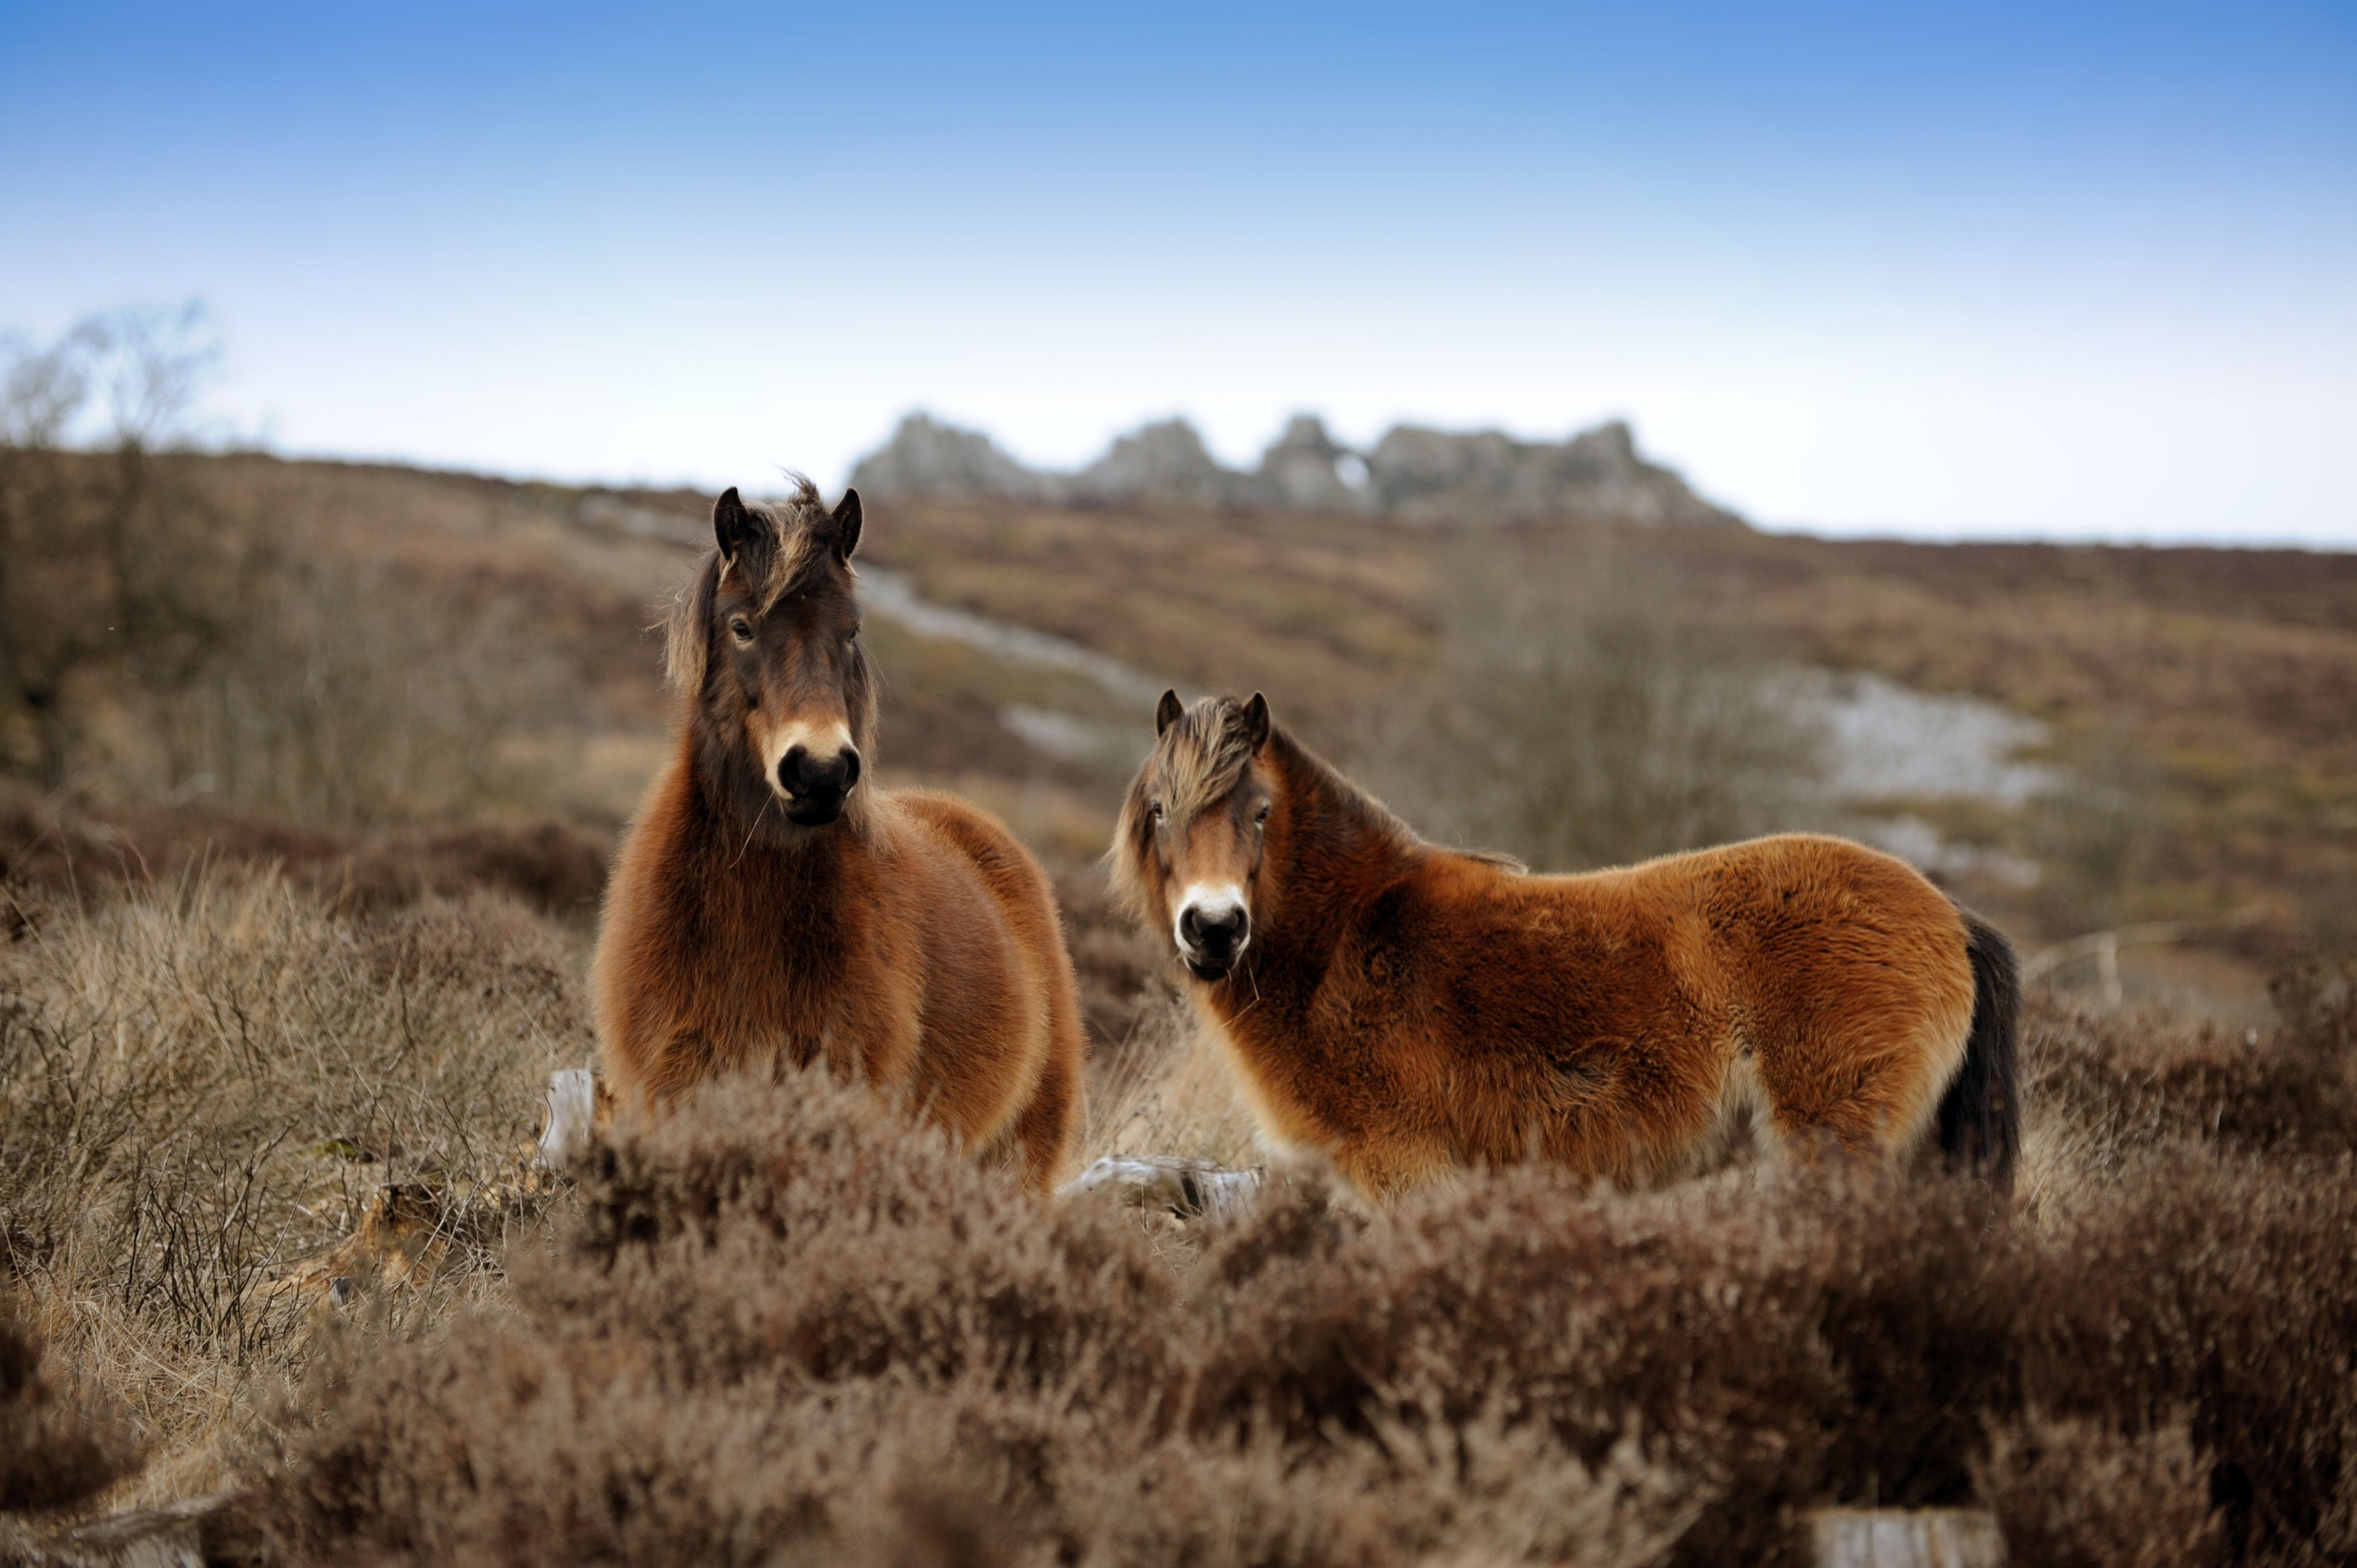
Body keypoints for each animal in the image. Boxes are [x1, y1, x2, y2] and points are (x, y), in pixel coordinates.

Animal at [1113, 693, 2018, 1193]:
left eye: (1262, 812)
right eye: (1159, 810)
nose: (1215, 927)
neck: (1350, 937)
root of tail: (1949, 913)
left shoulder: (1404, 1170)